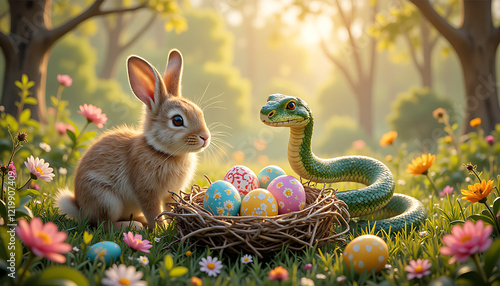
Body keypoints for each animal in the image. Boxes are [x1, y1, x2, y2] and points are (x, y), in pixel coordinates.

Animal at [55, 49, 210, 230]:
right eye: (177, 120)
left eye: (200, 112)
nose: (205, 137)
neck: (162, 152)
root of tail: (79, 207)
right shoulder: (146, 192)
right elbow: (153, 212)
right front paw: (160, 230)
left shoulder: (170, 195)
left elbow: (170, 210)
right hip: (106, 200)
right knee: (103, 223)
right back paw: (133, 226)